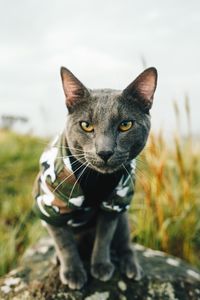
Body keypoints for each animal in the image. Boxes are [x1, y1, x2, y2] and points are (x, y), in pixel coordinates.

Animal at [33, 65, 158, 288]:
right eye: (86, 125)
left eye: (126, 125)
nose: (105, 151)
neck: (97, 178)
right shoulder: (50, 206)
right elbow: (64, 242)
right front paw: (73, 272)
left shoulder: (114, 203)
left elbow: (104, 237)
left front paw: (101, 265)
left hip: (123, 217)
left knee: (124, 242)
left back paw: (130, 265)